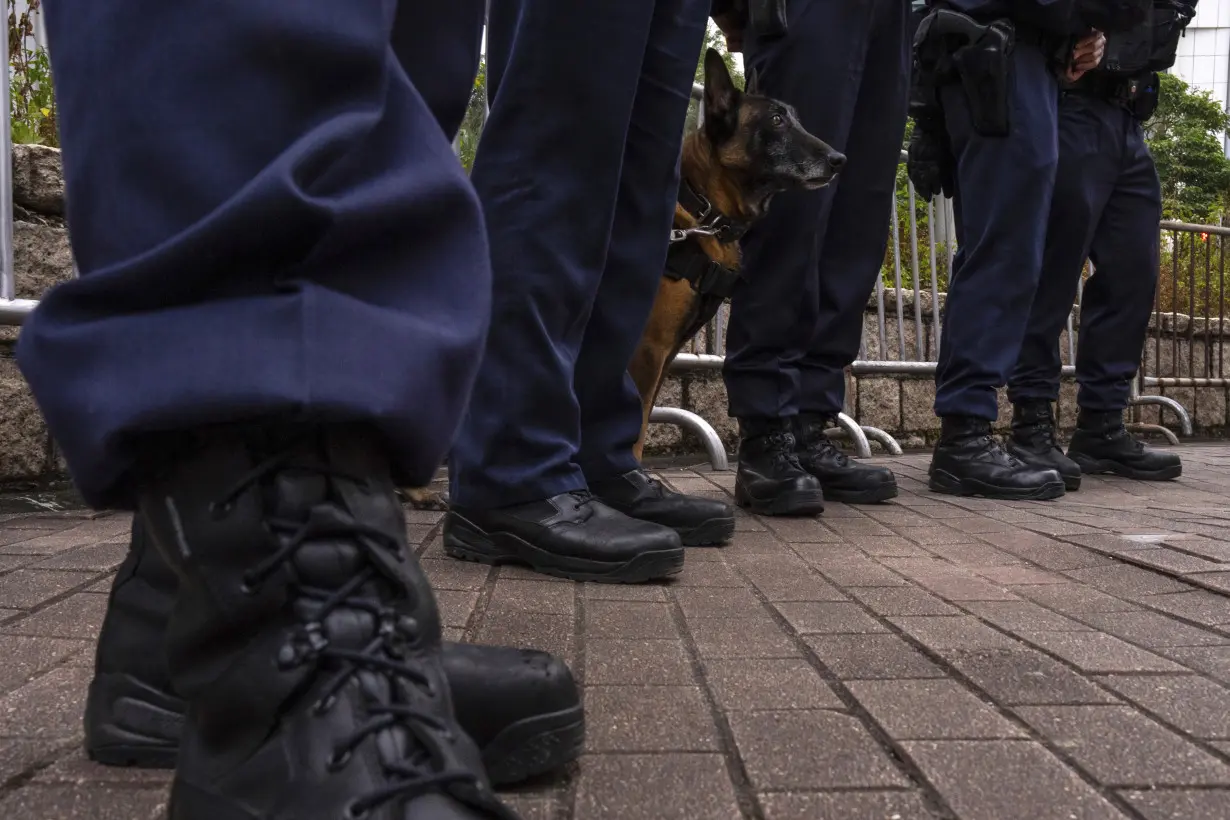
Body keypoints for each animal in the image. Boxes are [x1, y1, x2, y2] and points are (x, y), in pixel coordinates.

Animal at [400, 48, 836, 508]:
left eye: (794, 117)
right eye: (776, 120)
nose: (839, 160)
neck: (700, 206)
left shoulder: (667, 351)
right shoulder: (647, 350)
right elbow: (637, 428)